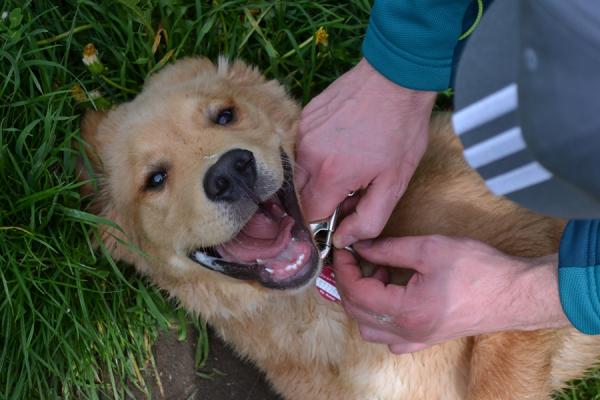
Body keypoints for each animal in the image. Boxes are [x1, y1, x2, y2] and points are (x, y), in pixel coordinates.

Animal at [80, 57, 600, 399]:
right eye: (155, 180)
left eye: (225, 114)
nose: (231, 171)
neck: (321, 308)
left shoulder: (527, 240)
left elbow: (498, 382)